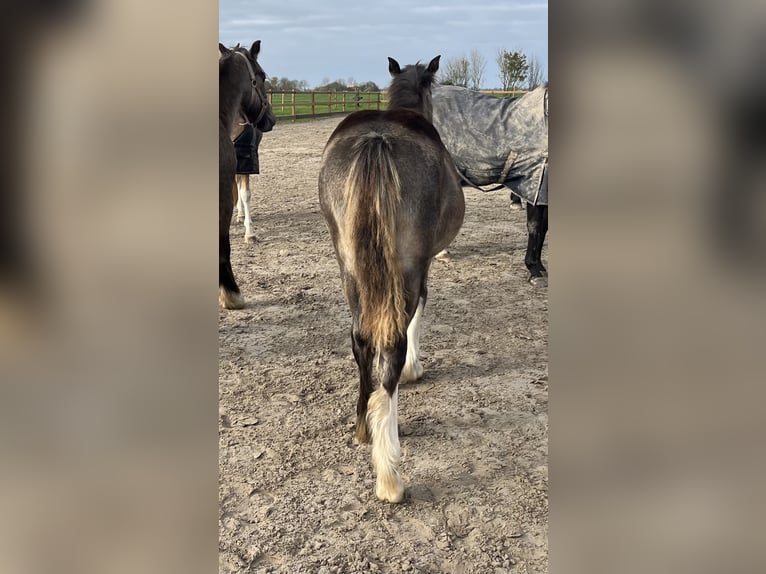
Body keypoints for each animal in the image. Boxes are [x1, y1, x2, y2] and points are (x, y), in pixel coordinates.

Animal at [316, 57, 464, 504]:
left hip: (349, 266)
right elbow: (419, 316)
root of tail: (376, 140)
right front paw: (416, 368)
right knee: (392, 346)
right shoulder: (423, 265)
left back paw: (365, 427)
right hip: (406, 266)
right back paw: (390, 469)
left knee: (361, 339)